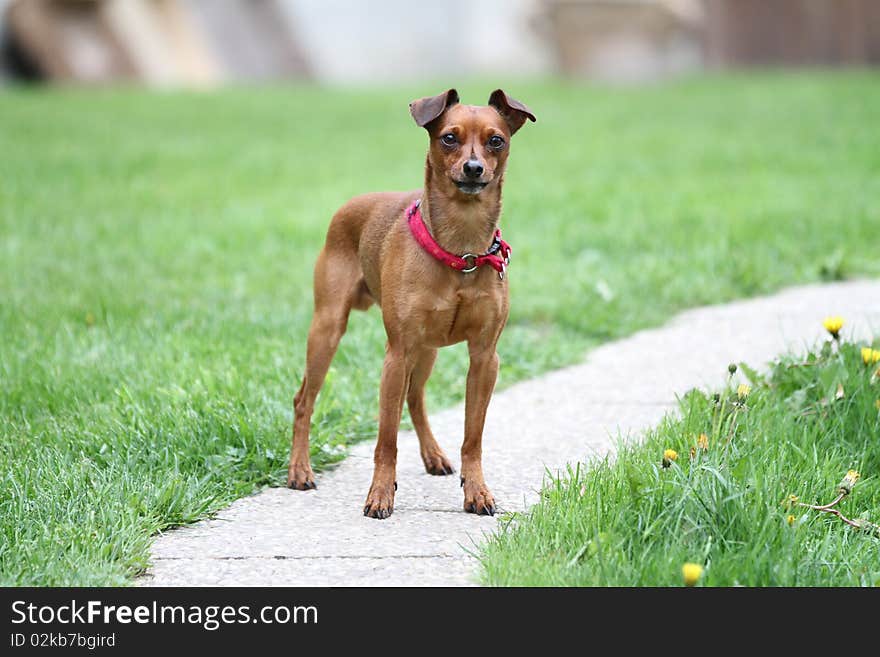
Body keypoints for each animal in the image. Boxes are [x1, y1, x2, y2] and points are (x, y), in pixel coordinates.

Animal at [288, 88, 536, 516]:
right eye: (448, 138)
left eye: (496, 140)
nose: (474, 169)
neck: (461, 251)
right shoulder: (397, 354)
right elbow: (386, 440)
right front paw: (380, 494)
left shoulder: (485, 359)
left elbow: (473, 437)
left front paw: (477, 490)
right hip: (329, 330)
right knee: (304, 399)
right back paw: (300, 470)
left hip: (428, 350)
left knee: (415, 398)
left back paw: (433, 454)